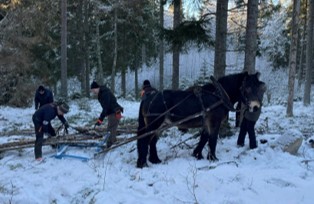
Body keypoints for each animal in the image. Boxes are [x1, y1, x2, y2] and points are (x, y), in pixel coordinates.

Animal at [136, 71, 266, 167]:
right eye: (247, 88)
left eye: (259, 88)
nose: (256, 107)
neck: (219, 96)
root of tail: (149, 98)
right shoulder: (214, 122)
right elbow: (212, 139)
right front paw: (213, 158)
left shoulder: (207, 122)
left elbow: (204, 137)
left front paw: (197, 154)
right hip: (154, 124)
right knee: (144, 140)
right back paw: (143, 164)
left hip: (160, 125)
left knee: (152, 141)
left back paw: (155, 160)